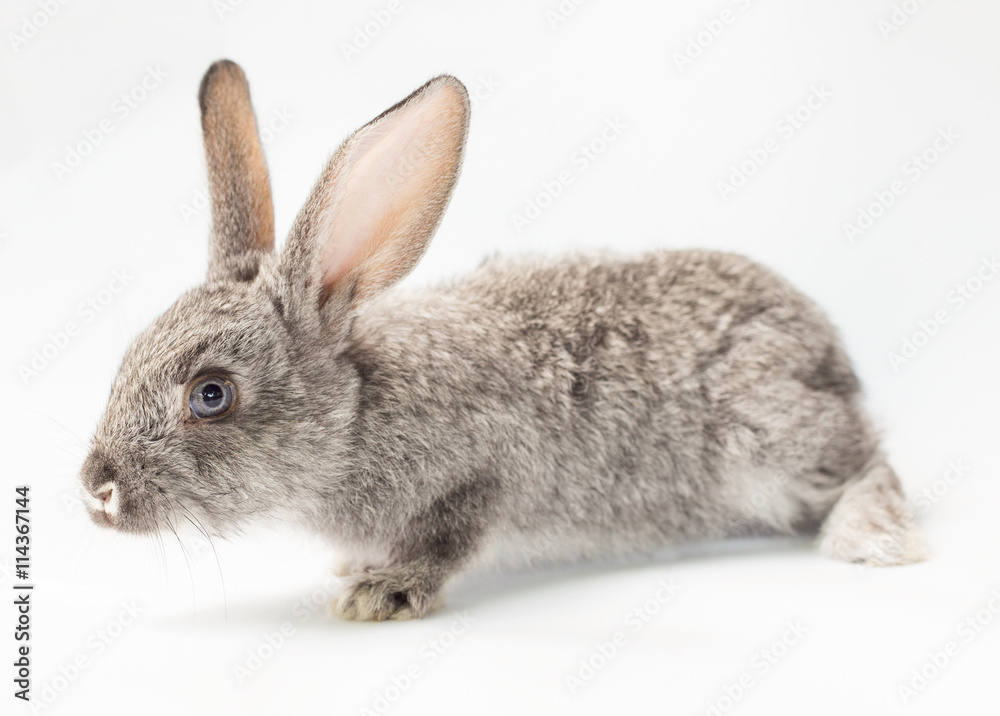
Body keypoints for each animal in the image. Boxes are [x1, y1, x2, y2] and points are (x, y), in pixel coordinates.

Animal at [79, 60, 926, 621]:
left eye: (210, 395)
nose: (96, 488)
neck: (356, 414)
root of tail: (831, 356)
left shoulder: (485, 470)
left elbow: (452, 536)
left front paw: (380, 592)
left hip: (767, 433)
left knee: (867, 462)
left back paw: (877, 537)